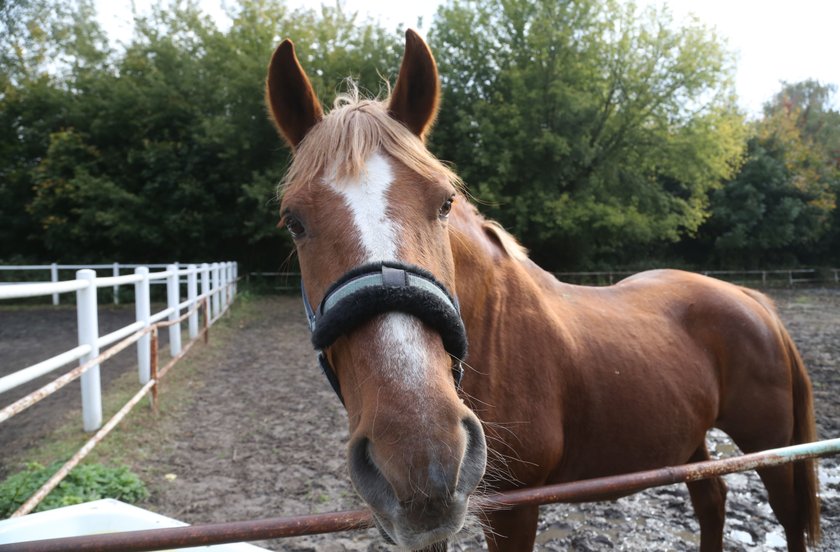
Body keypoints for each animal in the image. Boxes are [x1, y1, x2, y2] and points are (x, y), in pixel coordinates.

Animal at [268, 31, 820, 552]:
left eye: (444, 203)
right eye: (294, 221)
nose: (420, 455)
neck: (492, 334)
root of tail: (753, 301)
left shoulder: (514, 507)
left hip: (772, 450)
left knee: (788, 516)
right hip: (692, 443)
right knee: (711, 498)